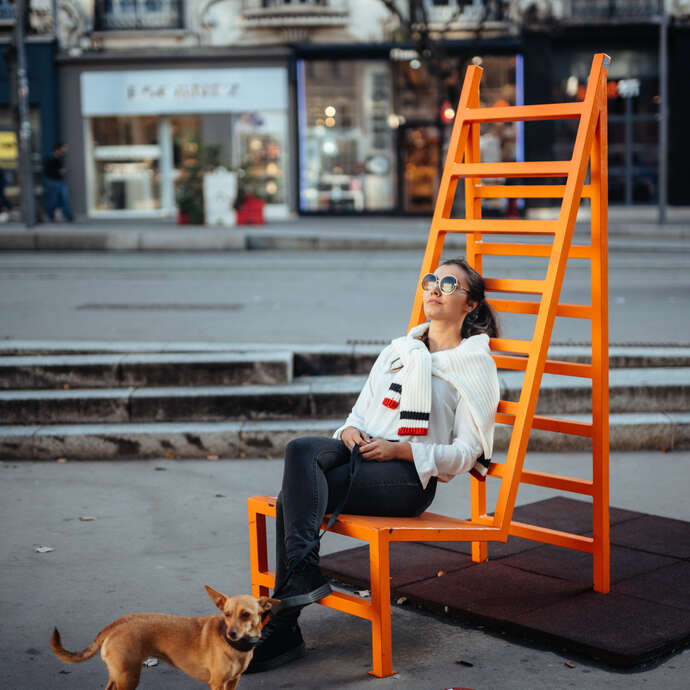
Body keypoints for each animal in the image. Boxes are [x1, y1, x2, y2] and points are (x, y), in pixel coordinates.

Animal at [51, 584, 276, 688]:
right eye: (227, 614)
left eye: (245, 614)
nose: (231, 633)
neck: (235, 647)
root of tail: (116, 623)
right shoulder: (217, 683)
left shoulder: (232, 682)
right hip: (128, 678)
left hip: (118, 676)